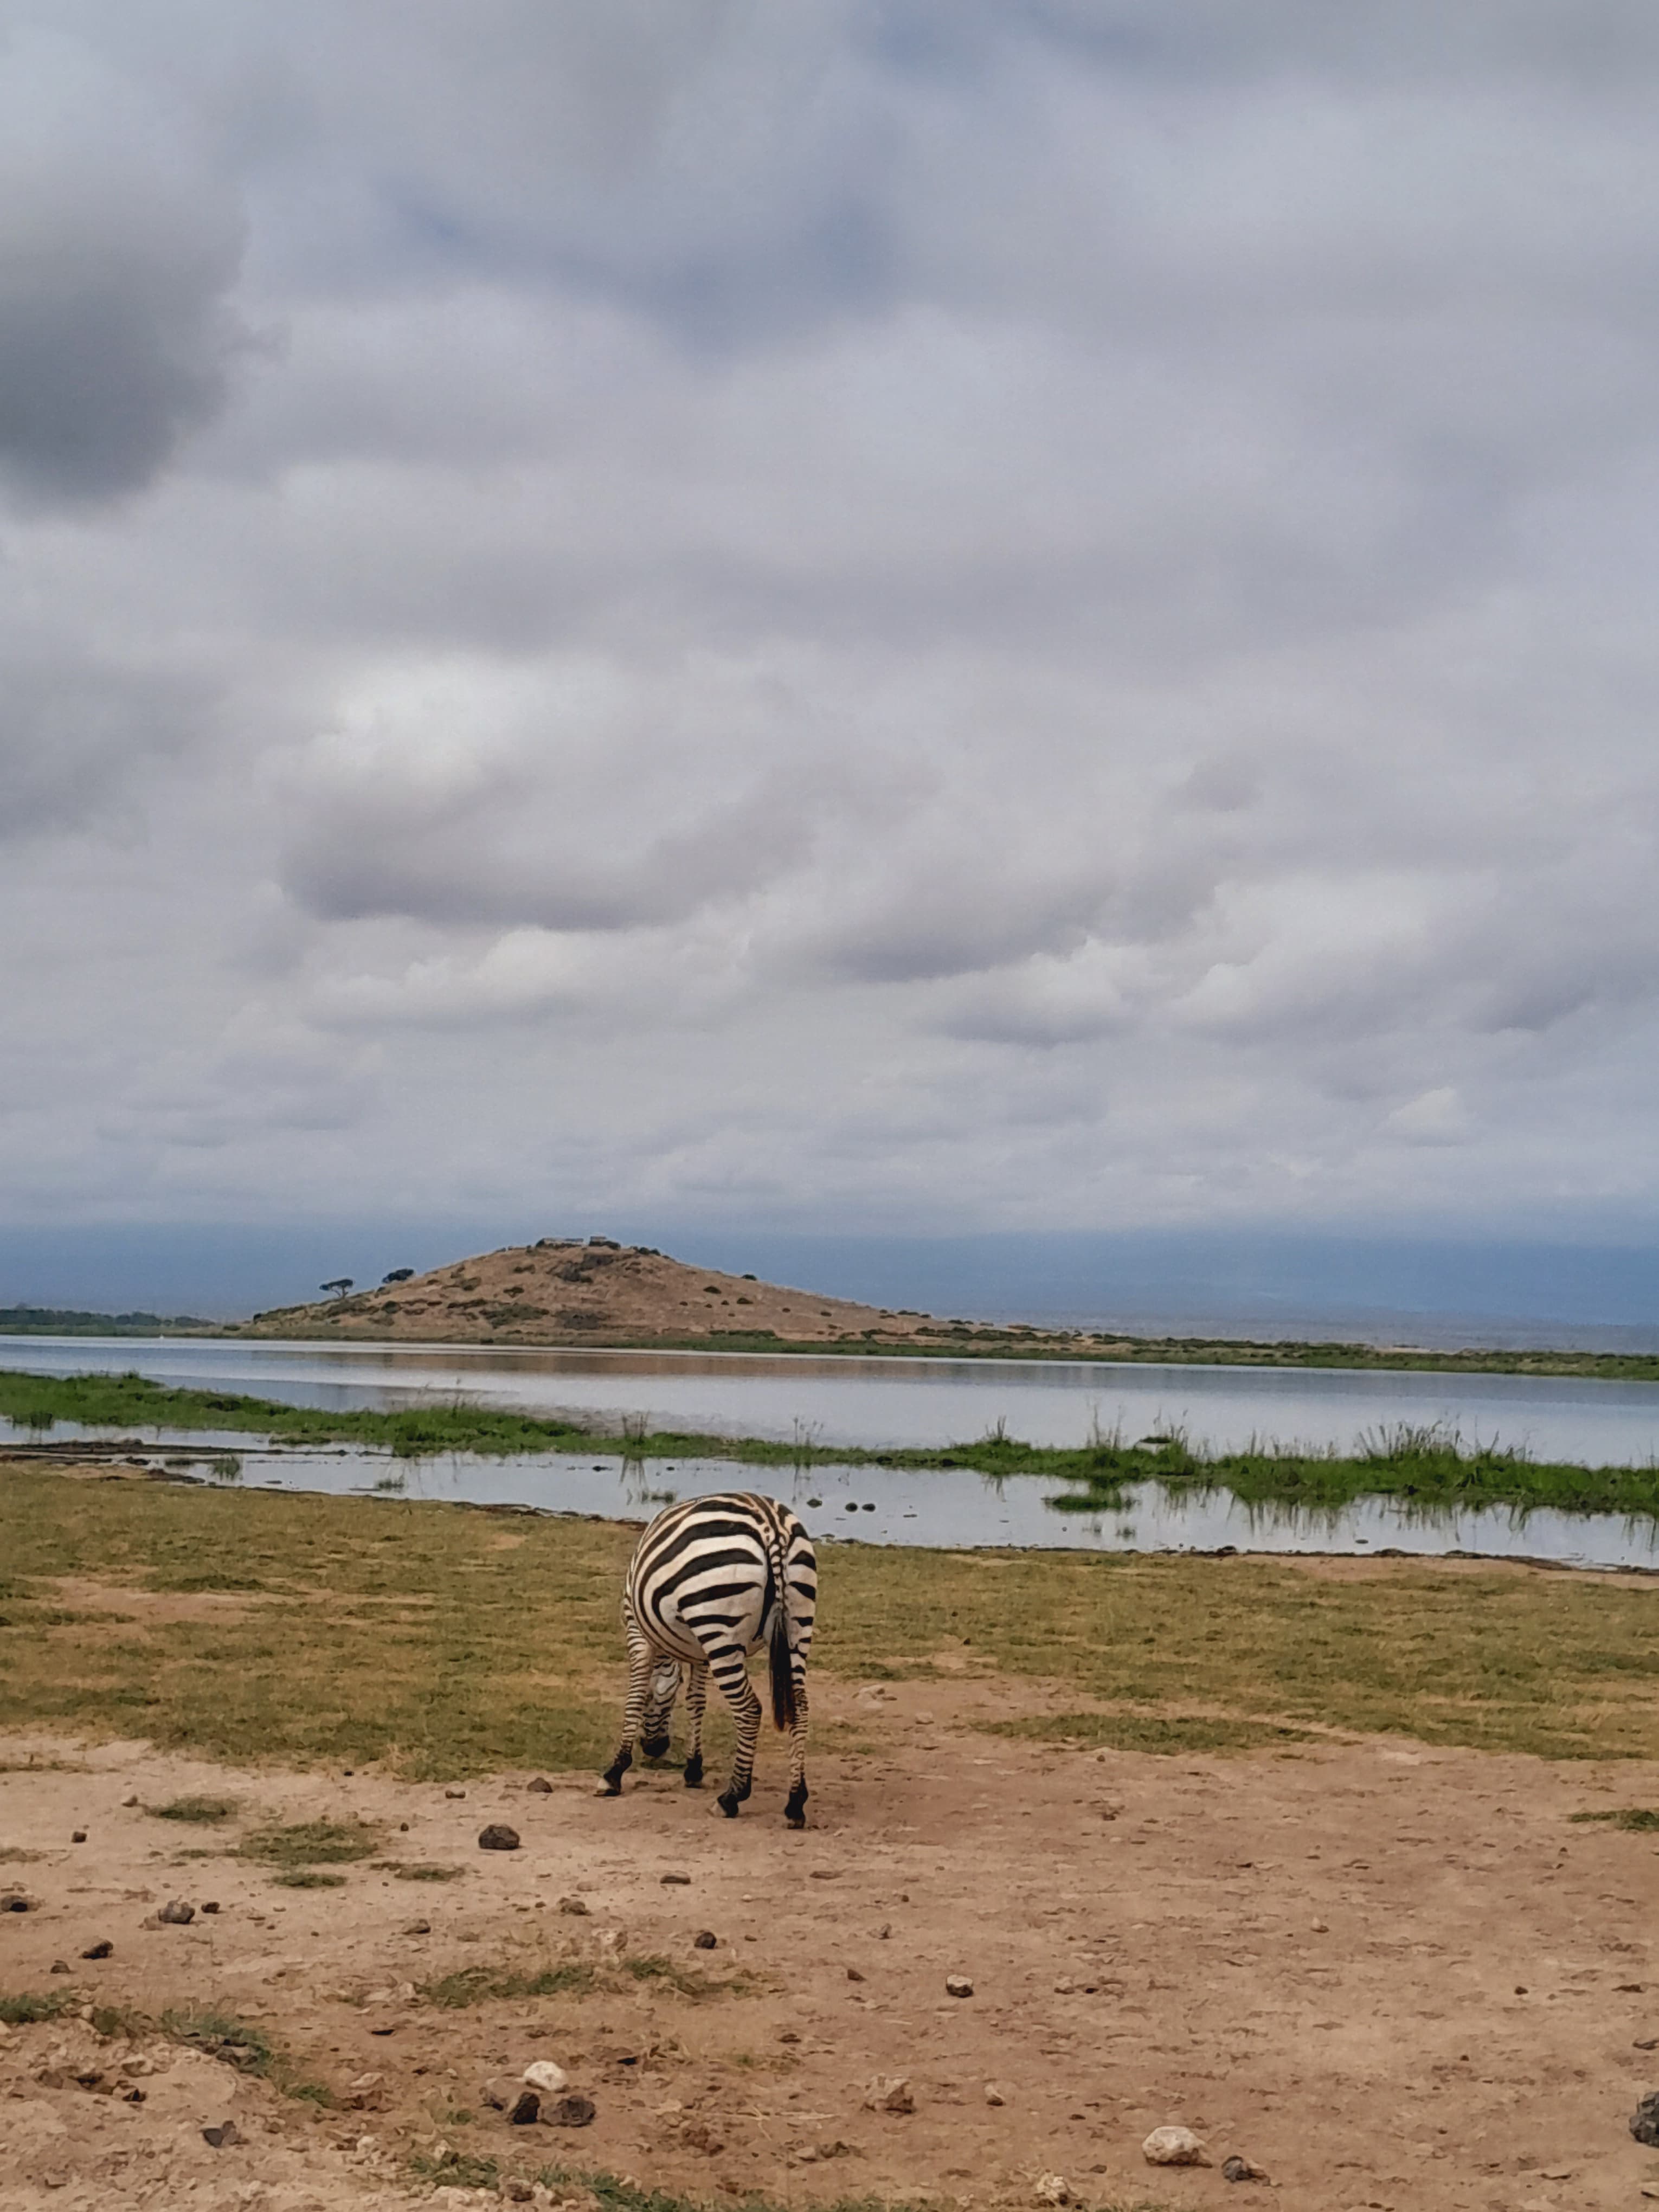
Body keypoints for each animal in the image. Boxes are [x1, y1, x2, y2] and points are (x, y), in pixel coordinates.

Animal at [600, 1493, 816, 1827]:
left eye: (656, 1698)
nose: (655, 1748)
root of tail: (771, 1528)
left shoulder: (637, 1631)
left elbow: (634, 1696)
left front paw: (614, 1772)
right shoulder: (700, 1650)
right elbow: (697, 1700)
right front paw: (694, 1768)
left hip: (720, 1626)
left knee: (749, 1709)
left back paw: (732, 1797)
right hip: (795, 1626)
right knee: (801, 1708)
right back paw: (795, 1802)